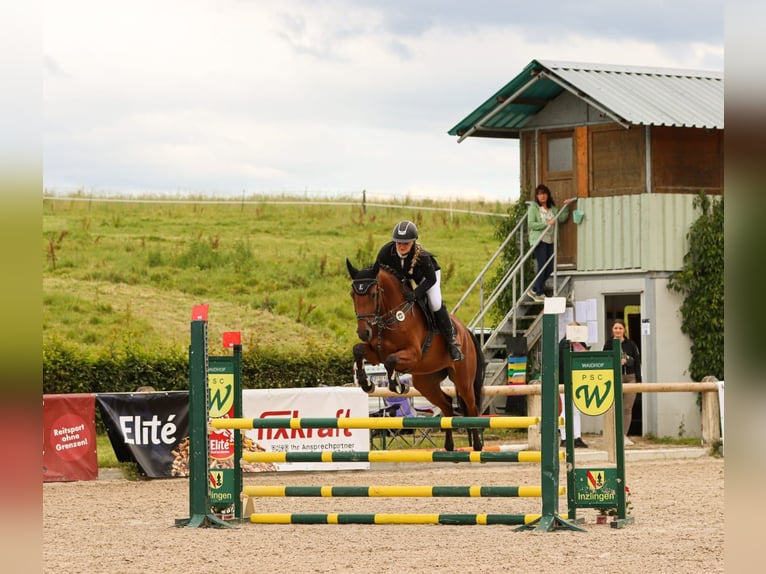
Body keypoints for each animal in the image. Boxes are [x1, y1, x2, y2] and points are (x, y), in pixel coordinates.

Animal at [348, 258, 486, 452]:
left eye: (374, 295)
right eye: (353, 295)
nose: (363, 332)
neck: (390, 316)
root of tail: (466, 331)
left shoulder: (413, 354)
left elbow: (390, 361)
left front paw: (398, 385)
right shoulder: (376, 355)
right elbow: (358, 350)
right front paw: (365, 383)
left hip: (463, 379)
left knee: (471, 407)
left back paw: (478, 446)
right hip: (426, 382)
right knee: (447, 404)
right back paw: (449, 447)